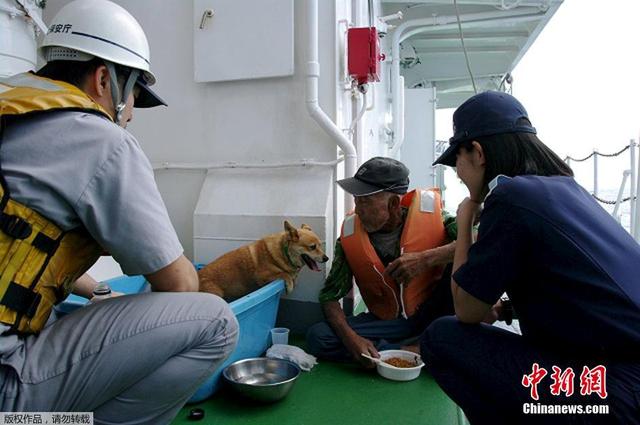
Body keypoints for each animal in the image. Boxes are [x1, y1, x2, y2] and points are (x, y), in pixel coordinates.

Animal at [199, 220, 330, 300]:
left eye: (320, 245)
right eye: (312, 247)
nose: (326, 258)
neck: (284, 252)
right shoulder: (262, 277)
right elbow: (284, 274)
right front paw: (289, 285)